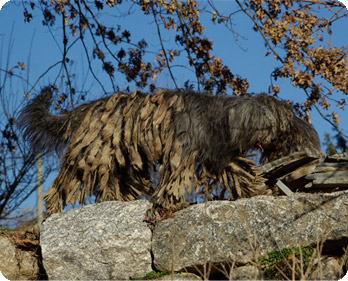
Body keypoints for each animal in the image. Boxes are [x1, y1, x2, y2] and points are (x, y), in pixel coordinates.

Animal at [17, 86, 320, 213]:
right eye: (286, 121)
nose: (304, 131)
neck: (219, 118)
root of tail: (85, 110)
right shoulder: (181, 151)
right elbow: (175, 176)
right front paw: (173, 202)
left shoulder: (222, 156)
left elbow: (239, 172)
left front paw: (257, 190)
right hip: (92, 152)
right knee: (66, 180)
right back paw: (53, 207)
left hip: (120, 159)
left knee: (113, 183)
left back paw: (116, 200)